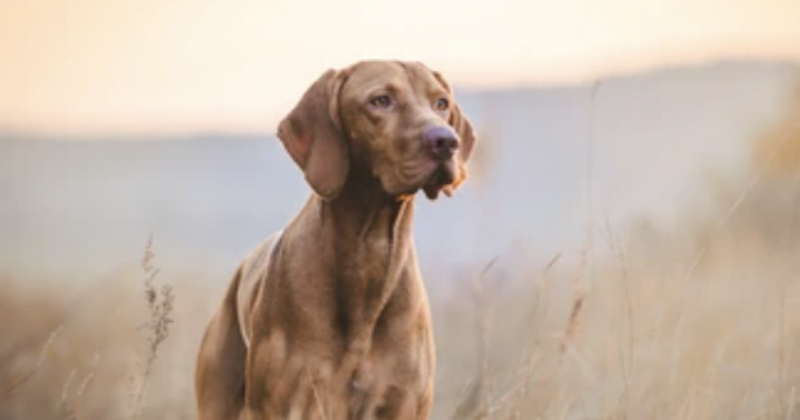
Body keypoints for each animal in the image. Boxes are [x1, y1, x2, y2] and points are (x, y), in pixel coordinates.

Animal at [195, 60, 476, 420]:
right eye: (381, 100)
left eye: (441, 103)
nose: (446, 141)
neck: (368, 249)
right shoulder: (292, 403)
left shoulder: (402, 402)